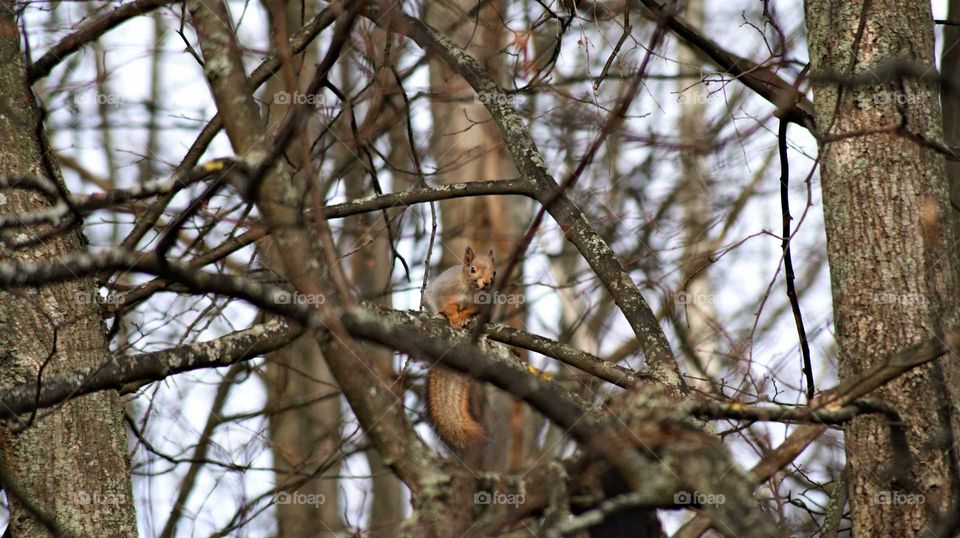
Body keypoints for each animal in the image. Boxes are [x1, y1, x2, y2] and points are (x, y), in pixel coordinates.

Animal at [423, 245, 496, 450]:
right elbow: (443, 305)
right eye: (472, 269)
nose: (487, 282)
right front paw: (454, 316)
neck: (469, 290)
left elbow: (475, 311)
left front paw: (463, 316)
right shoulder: (439, 291)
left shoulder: (484, 304)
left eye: (494, 272)